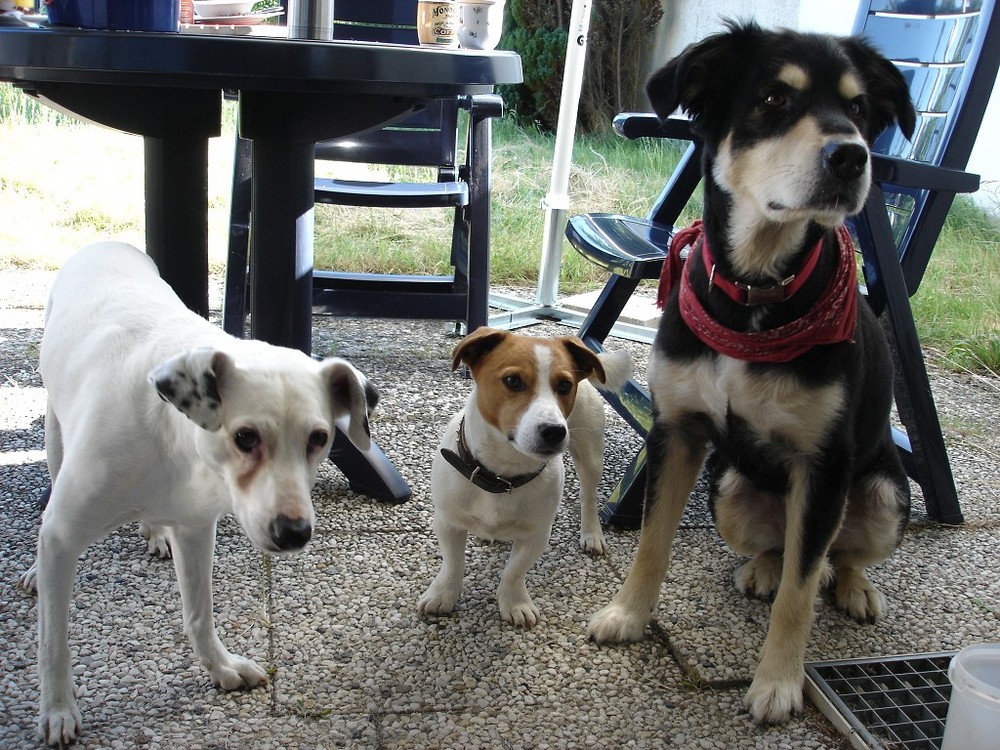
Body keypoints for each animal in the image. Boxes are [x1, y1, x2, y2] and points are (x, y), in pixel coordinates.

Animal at [19, 244, 378, 748]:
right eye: (245, 437)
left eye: (319, 438)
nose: (294, 533)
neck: (174, 446)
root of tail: (106, 244)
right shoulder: (65, 534)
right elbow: (53, 640)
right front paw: (56, 709)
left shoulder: (195, 529)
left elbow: (199, 614)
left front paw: (220, 666)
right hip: (54, 434)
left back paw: (153, 531)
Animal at [418, 328, 628, 628]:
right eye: (512, 381)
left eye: (565, 385)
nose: (554, 431)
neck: (502, 475)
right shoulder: (448, 522)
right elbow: (452, 563)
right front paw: (443, 594)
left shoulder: (536, 534)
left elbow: (514, 571)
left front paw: (514, 602)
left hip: (590, 454)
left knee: (588, 496)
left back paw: (591, 534)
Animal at [584, 23, 916, 724]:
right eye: (773, 98)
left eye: (859, 110)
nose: (852, 158)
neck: (756, 292)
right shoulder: (678, 432)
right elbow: (652, 542)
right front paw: (628, 614)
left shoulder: (823, 466)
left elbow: (800, 594)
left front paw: (779, 682)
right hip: (729, 488)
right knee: (778, 549)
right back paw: (762, 567)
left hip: (882, 493)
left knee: (832, 556)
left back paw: (853, 586)